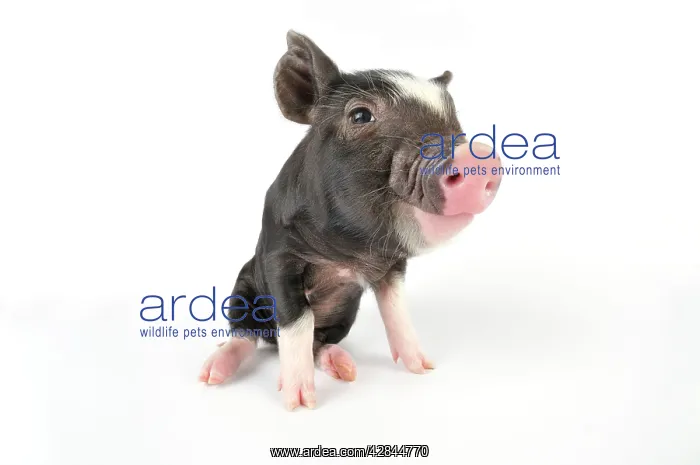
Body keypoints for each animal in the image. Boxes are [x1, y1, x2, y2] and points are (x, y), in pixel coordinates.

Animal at [198, 30, 502, 410]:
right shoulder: (278, 255)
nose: (479, 159)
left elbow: (397, 311)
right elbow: (298, 320)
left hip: (346, 313)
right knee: (245, 334)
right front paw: (299, 403)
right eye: (360, 115)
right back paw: (211, 373)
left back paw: (344, 367)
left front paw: (424, 367)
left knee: (321, 341)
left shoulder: (392, 266)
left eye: (455, 122)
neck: (350, 251)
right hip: (242, 289)